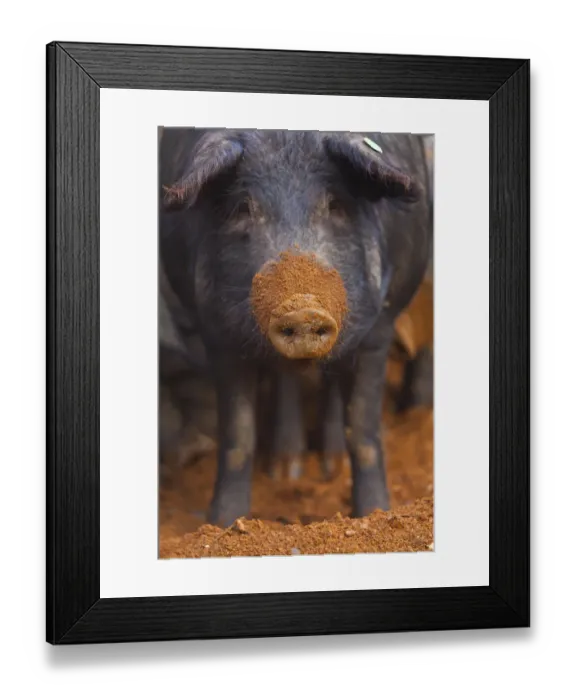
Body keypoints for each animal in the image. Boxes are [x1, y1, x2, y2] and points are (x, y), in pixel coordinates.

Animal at [159, 128, 432, 527]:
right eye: (244, 209)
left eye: (335, 205)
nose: (302, 308)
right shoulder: (217, 334)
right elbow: (238, 437)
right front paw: (221, 526)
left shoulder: (379, 329)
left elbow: (363, 431)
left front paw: (375, 515)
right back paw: (287, 472)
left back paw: (333, 464)